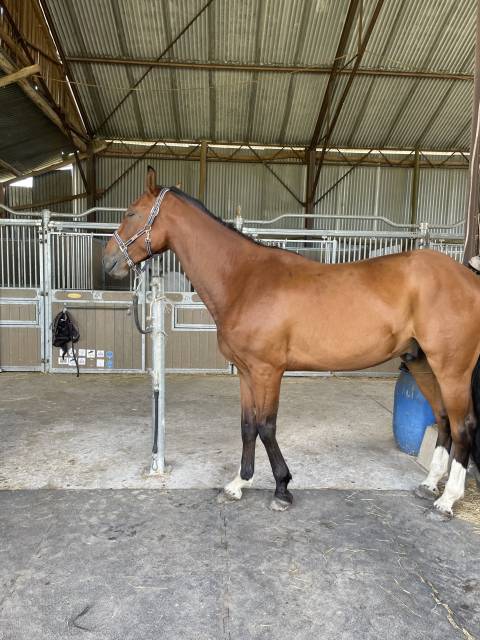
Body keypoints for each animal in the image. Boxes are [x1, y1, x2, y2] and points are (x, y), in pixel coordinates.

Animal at [103, 166, 480, 520]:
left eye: (132, 213)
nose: (108, 261)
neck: (244, 279)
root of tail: (468, 277)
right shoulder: (246, 372)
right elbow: (247, 426)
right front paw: (238, 483)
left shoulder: (268, 371)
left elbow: (266, 427)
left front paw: (282, 489)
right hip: (423, 364)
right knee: (443, 419)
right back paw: (429, 484)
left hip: (451, 369)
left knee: (464, 426)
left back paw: (447, 500)